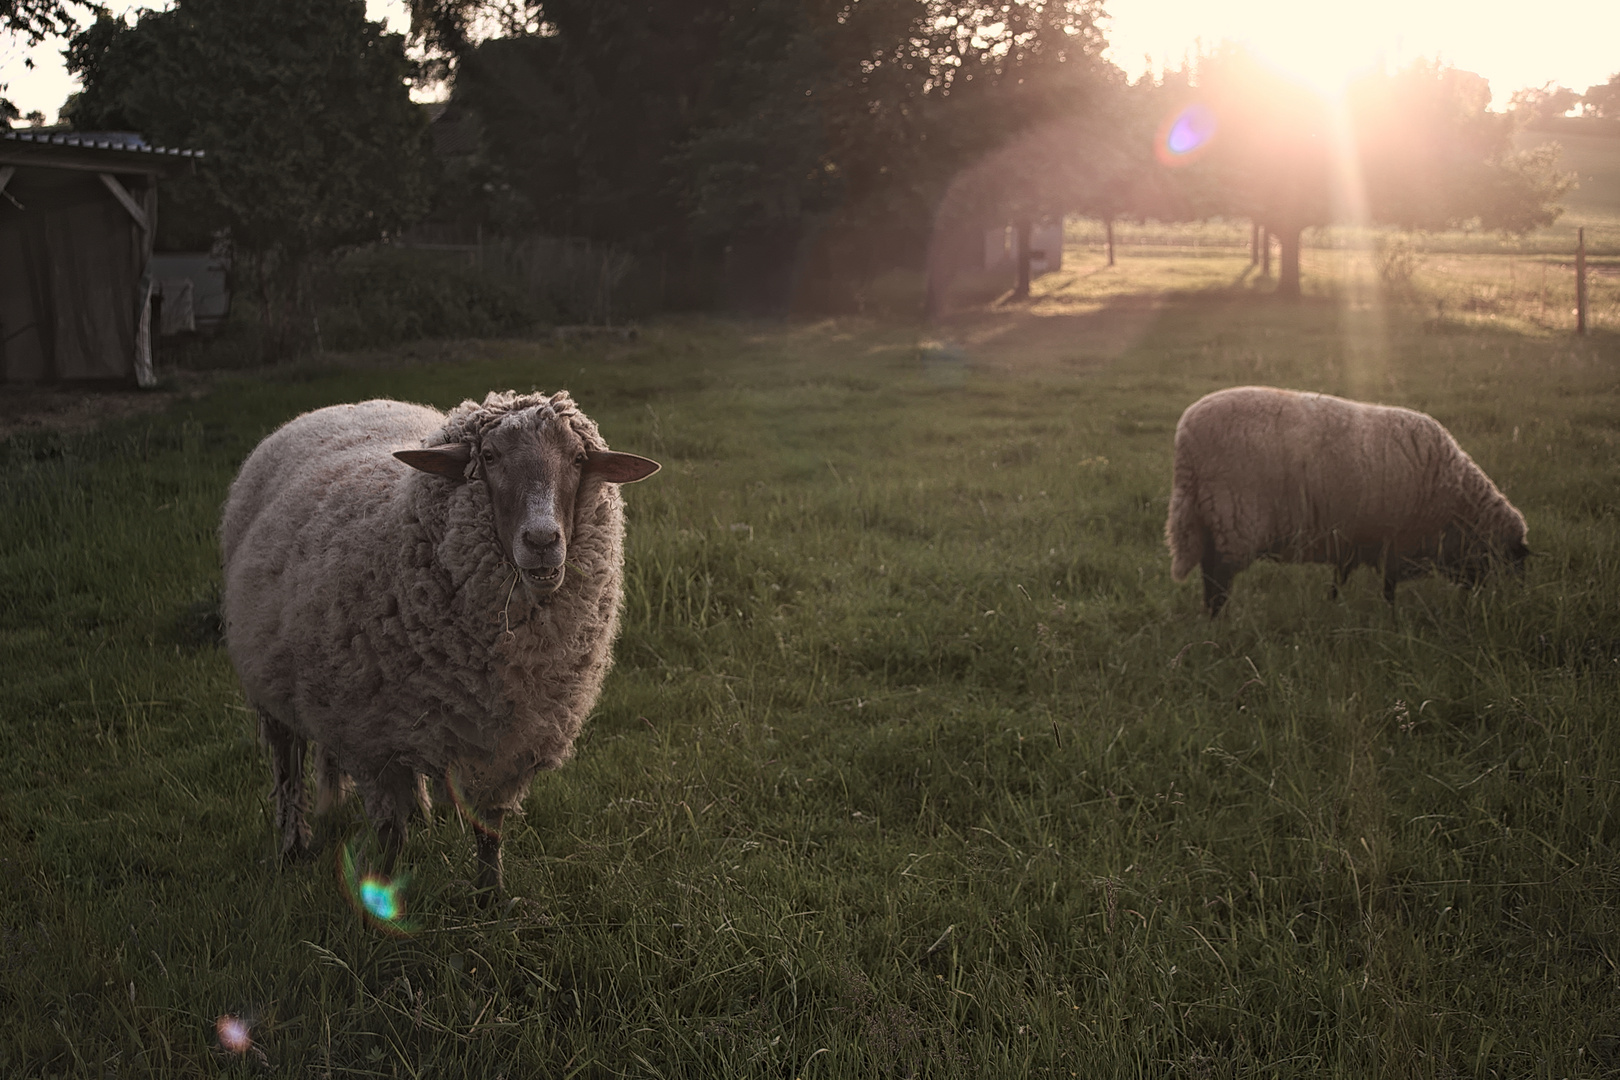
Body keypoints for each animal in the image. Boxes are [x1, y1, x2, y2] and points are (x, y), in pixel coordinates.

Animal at [220, 390, 657, 893]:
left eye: (578, 459)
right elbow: (388, 831)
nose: (542, 540)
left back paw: (423, 814)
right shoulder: (370, 738)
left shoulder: (507, 741)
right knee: (286, 765)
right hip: (272, 686)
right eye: (488, 458)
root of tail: (342, 406)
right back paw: (292, 843)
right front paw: (378, 890)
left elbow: (489, 827)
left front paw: (491, 896)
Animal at [1172, 386, 1522, 615]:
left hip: (1208, 516)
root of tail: (1186, 435)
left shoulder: (1353, 536)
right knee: (1217, 576)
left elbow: (1341, 578)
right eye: (1505, 560)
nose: (1479, 602)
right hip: (1232, 516)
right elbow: (1388, 588)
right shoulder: (1395, 540)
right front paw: (1389, 619)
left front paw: (1334, 605)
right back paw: (1218, 621)